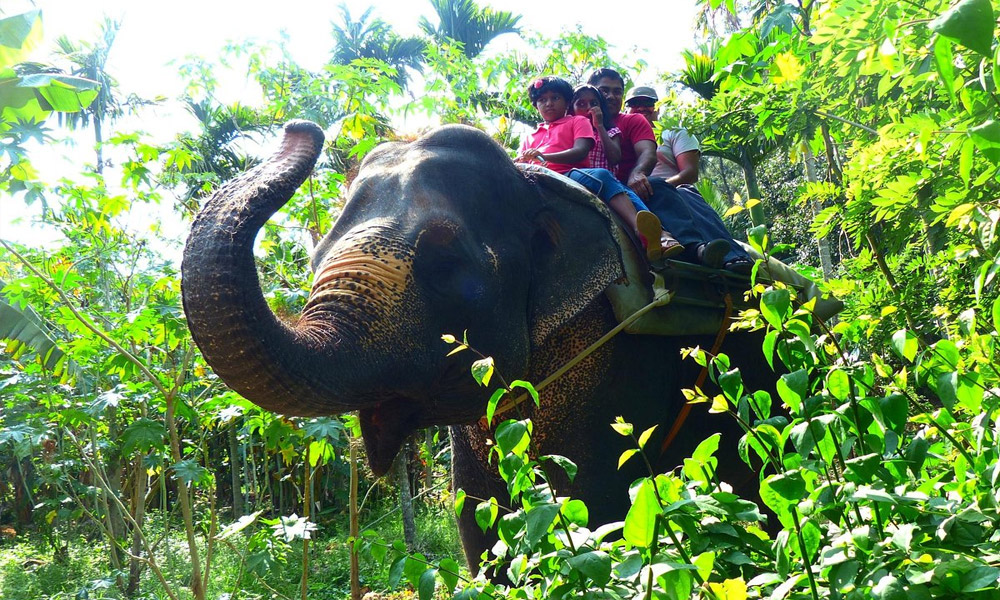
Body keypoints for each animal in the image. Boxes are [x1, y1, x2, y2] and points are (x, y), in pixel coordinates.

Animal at [180, 118, 776, 572]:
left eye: (445, 264)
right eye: (314, 256)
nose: (299, 127)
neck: (534, 187)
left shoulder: (617, 361)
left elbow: (597, 507)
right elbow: (479, 520)